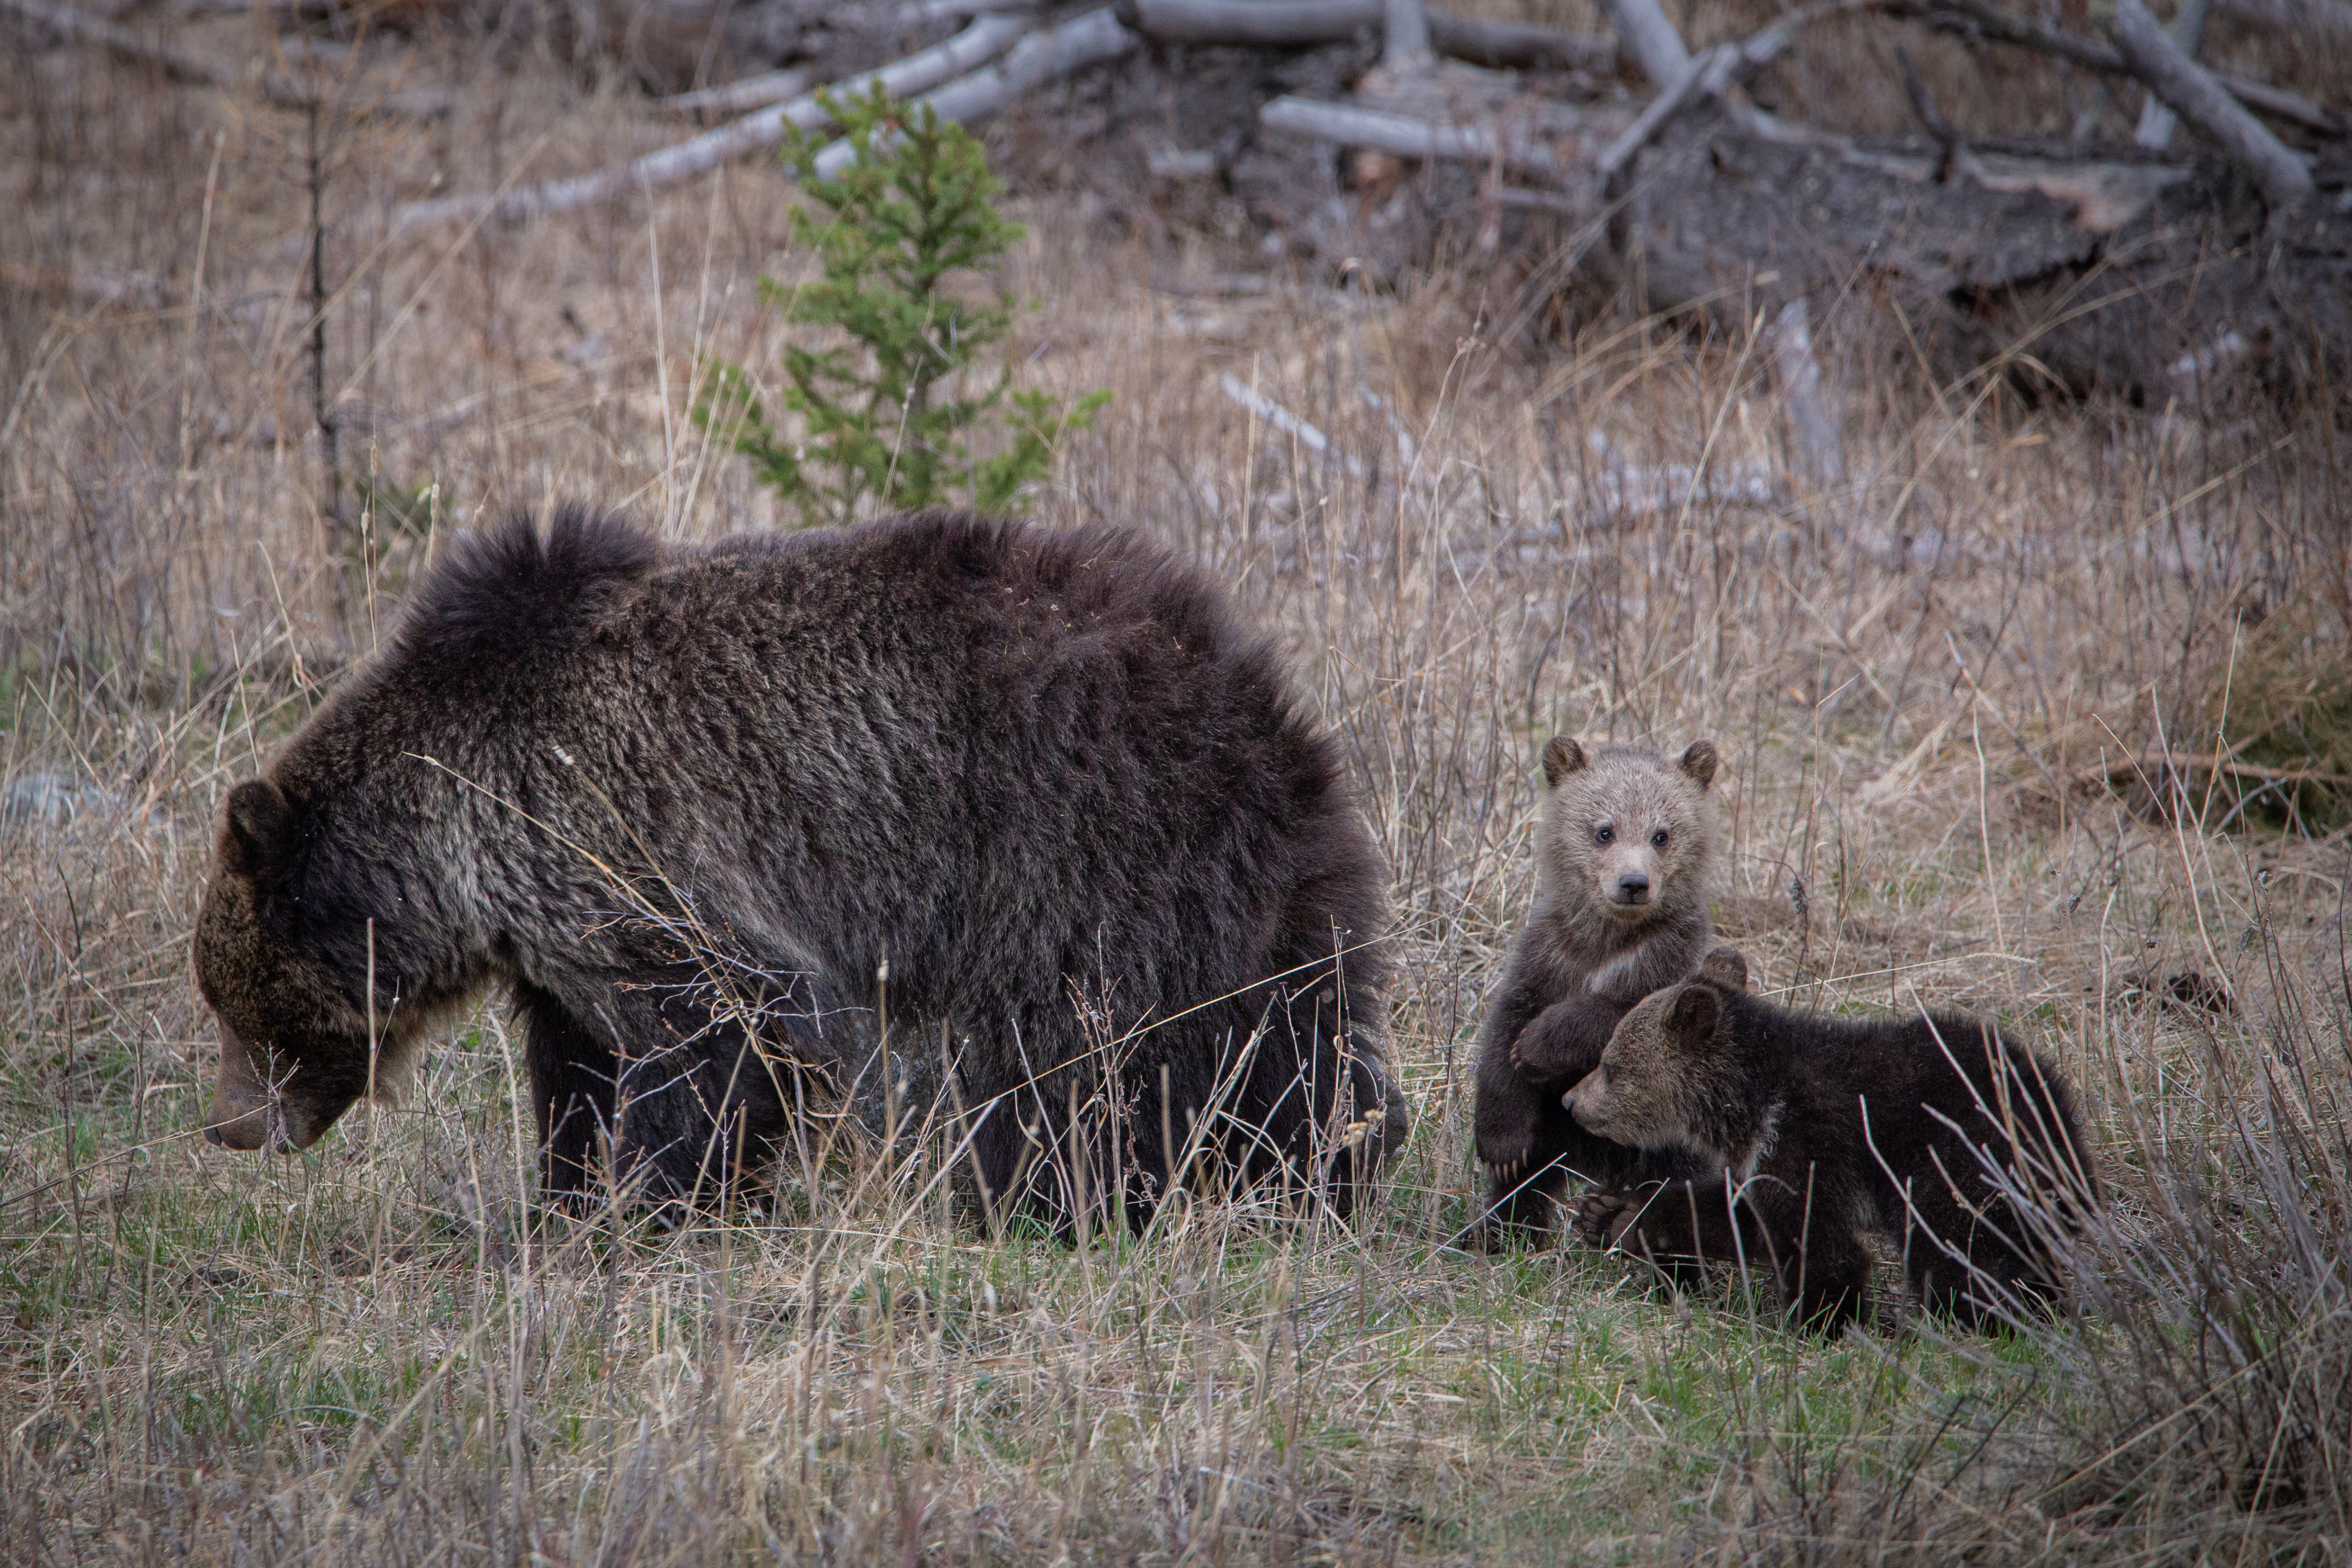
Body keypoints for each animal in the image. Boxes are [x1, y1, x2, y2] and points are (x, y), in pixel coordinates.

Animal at [194, 506, 1409, 1229]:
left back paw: (1073, 1190)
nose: (229, 1125)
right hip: (1228, 879)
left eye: (237, 1006)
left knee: (1106, 1054)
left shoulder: (629, 851)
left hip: (1089, 850)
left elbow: (723, 1039)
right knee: (1286, 1026)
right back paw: (1332, 1152)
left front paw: (656, 1200)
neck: (462, 840)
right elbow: (581, 1062)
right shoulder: (564, 937)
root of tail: (1262, 708)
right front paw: (570, 1191)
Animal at [1468, 734, 1720, 1245]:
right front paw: (1501, 1144)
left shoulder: (1667, 961)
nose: (1633, 883)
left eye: (1662, 834)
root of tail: (1596, 1166)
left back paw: (1625, 1225)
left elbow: (1619, 1019)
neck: (1606, 940)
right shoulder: (1547, 956)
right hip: (1554, 1131)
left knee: (1678, 1176)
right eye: (1604, 831)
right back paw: (1503, 1232)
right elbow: (1505, 1028)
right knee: (1528, 1181)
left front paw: (1537, 1044)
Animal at [1565, 947, 2097, 1332]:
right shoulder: (1765, 1159)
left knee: (1960, 1247)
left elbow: (1820, 1245)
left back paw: (1988, 1321)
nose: (1571, 1101)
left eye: (1609, 1066)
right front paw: (1611, 1213)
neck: (1753, 1100)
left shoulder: (1809, 1140)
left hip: (1959, 1155)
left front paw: (1818, 1323)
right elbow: (1737, 1215)